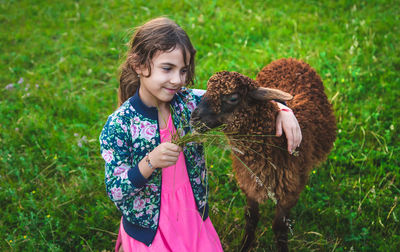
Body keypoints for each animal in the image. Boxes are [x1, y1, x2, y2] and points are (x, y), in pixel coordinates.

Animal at [191, 58, 338, 251]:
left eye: (233, 98)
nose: (194, 118)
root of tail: (290, 59)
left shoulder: (289, 192)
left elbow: (280, 228)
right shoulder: (250, 182)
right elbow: (251, 219)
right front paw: (245, 245)